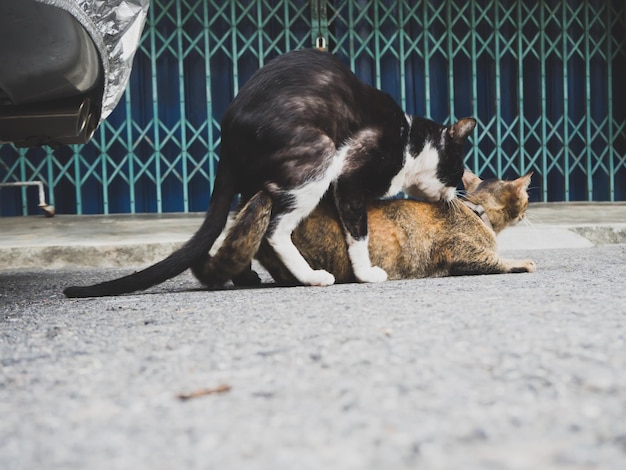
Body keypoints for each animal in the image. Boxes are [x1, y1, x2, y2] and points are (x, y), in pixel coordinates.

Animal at [64, 48, 472, 298]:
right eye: (458, 171)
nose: (459, 193)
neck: (409, 141)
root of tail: (228, 135)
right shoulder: (350, 180)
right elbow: (359, 234)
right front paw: (366, 272)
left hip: (260, 181)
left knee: (248, 222)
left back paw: (245, 276)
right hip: (319, 154)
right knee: (275, 230)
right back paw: (310, 277)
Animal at [196, 169, 536, 286]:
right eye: (527, 197)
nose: (528, 209)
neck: (477, 210)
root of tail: (263, 194)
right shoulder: (459, 252)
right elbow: (496, 260)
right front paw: (522, 262)